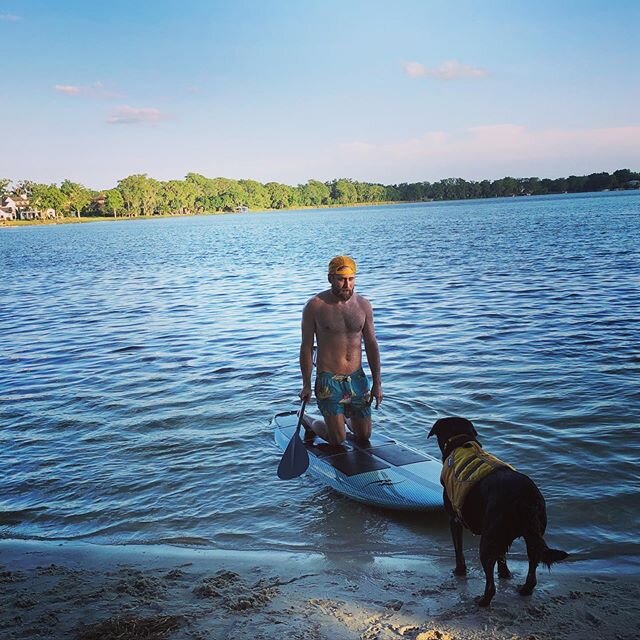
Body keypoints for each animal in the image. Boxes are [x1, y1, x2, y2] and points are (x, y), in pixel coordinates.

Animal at [428, 416, 568, 604]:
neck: (461, 441)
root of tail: (526, 499)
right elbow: (502, 556)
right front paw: (505, 574)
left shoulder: (454, 520)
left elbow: (459, 551)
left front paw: (459, 571)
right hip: (531, 534)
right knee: (533, 567)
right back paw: (525, 589)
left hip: (487, 540)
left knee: (490, 585)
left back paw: (482, 601)